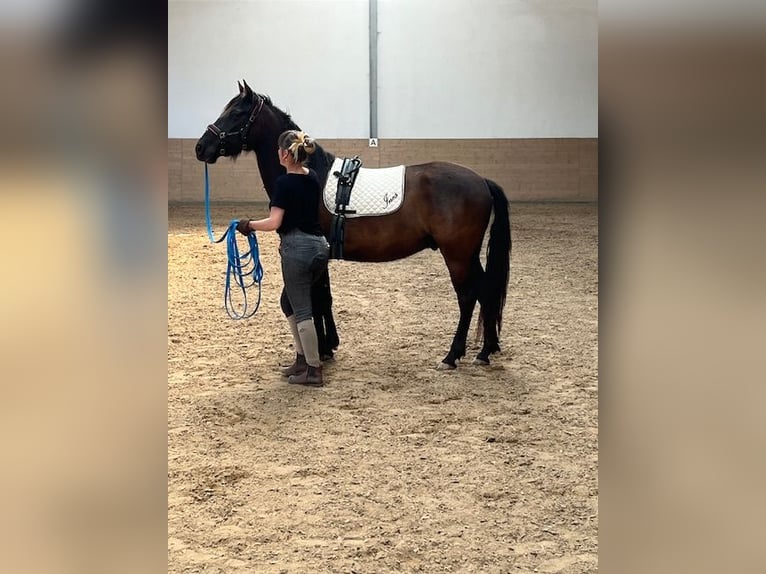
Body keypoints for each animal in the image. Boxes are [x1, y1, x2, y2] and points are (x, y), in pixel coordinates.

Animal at [195, 80, 511, 368]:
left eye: (237, 113)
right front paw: (329, 346)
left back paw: (452, 355)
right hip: (468, 255)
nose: (201, 147)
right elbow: (324, 298)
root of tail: (482, 181)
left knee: (467, 296)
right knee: (485, 290)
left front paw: (323, 349)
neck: (312, 173)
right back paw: (486, 351)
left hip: (457, 255)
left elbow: (318, 299)